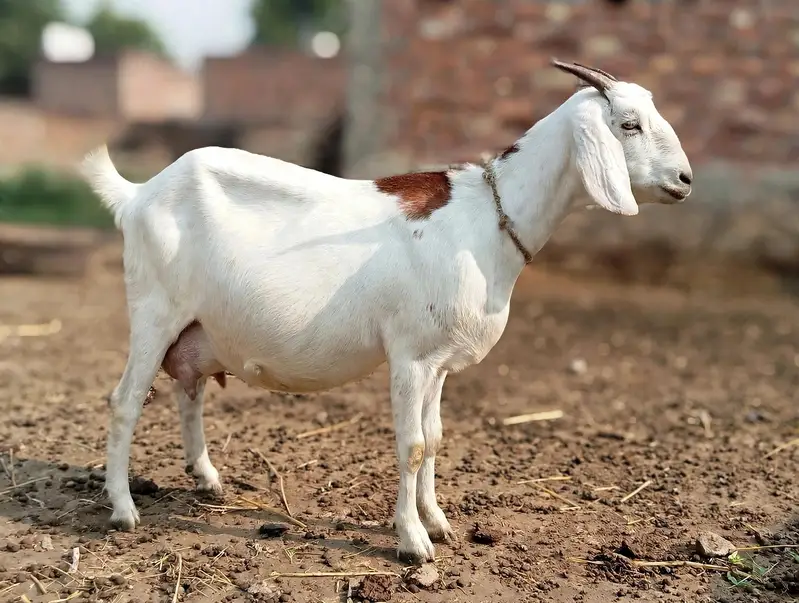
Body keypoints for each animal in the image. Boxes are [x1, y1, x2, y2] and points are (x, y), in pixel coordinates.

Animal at [81, 60, 692, 563]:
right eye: (629, 124)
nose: (686, 180)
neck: (487, 220)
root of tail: (137, 194)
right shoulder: (411, 356)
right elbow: (413, 445)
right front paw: (413, 542)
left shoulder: (440, 362)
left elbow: (436, 437)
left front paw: (438, 521)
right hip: (155, 311)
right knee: (125, 401)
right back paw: (124, 510)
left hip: (196, 326)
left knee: (190, 390)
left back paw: (206, 478)